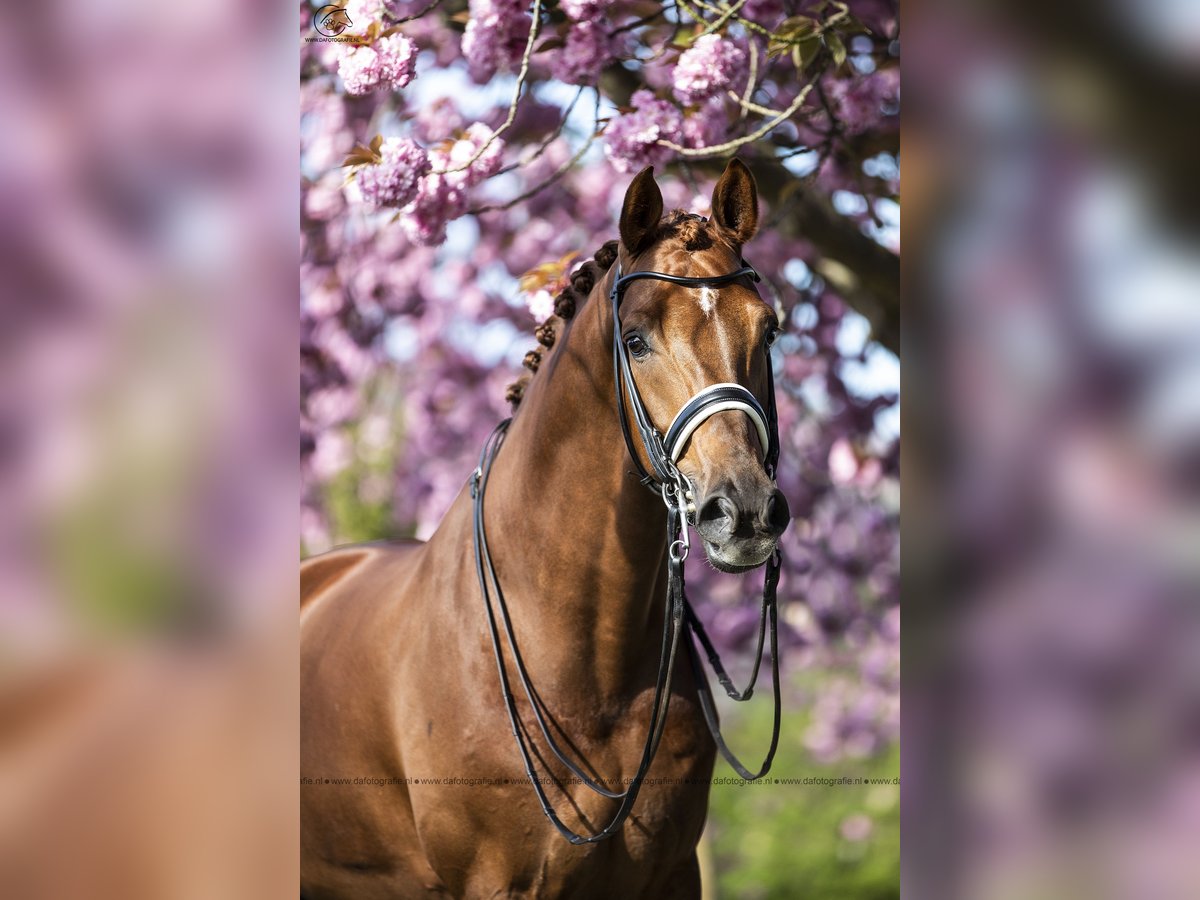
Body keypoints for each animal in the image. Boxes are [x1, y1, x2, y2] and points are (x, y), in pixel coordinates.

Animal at [300, 158, 787, 897]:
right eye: (636, 339)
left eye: (768, 330)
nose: (745, 510)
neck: (584, 669)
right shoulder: (495, 883)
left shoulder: (672, 876)